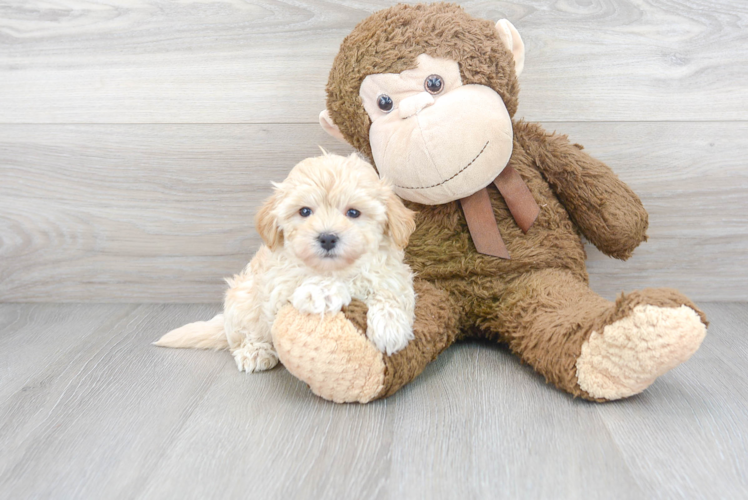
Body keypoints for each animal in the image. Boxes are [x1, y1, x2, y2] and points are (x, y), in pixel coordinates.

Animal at [155, 151, 418, 372]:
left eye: (353, 213)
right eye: (304, 211)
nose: (327, 237)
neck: (336, 269)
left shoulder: (393, 276)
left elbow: (390, 293)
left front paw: (390, 326)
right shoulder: (278, 288)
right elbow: (306, 284)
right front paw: (323, 291)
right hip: (242, 299)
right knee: (242, 336)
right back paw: (255, 352)